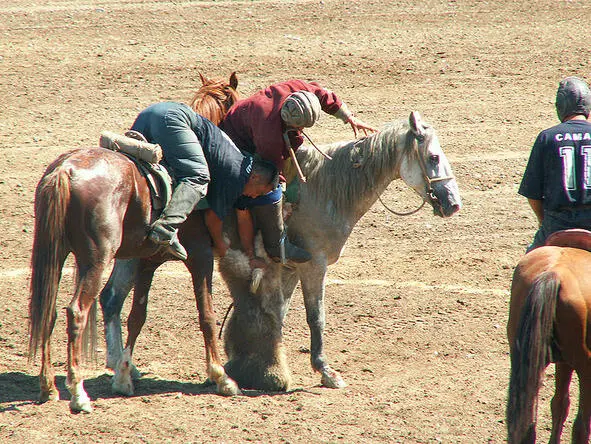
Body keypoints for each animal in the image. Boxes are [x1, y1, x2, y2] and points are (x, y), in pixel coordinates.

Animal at [27, 71, 240, 412]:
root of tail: (65, 170)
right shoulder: (201, 256)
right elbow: (206, 315)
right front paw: (222, 377)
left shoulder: (145, 261)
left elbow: (136, 314)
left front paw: (124, 373)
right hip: (96, 260)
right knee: (76, 312)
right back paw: (78, 393)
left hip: (55, 256)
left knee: (50, 311)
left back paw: (48, 387)